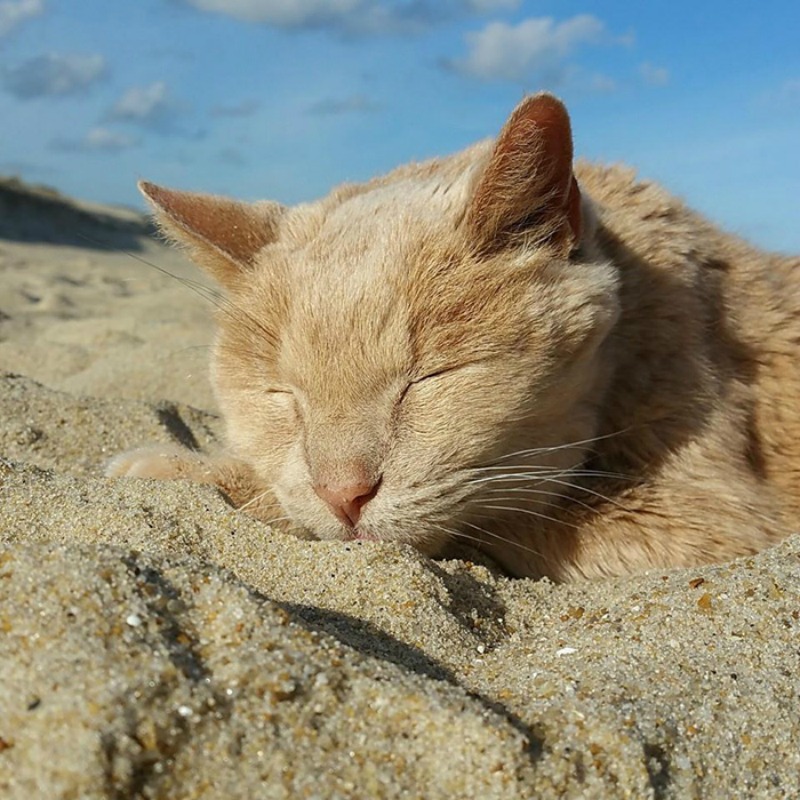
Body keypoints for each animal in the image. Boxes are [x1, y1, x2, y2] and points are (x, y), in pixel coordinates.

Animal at [109, 94, 800, 580]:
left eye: (430, 380)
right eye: (283, 396)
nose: (343, 494)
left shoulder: (713, 520)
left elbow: (511, 513)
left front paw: (177, 468)